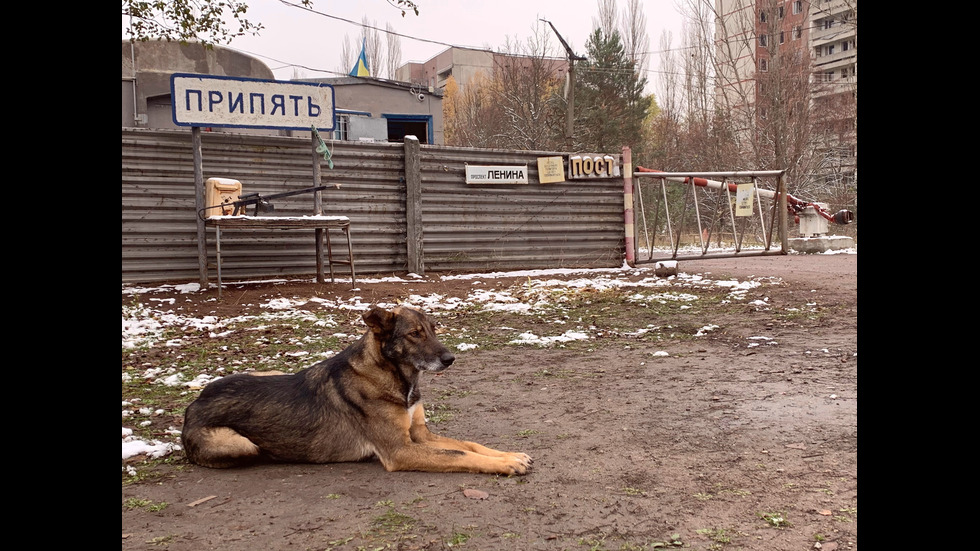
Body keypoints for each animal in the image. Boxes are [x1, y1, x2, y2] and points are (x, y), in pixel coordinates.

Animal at [184, 304, 536, 476]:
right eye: (414, 334)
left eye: (434, 330)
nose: (450, 359)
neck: (395, 378)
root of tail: (193, 405)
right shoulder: (400, 450)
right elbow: (460, 454)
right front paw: (505, 465)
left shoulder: (419, 435)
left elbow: (469, 444)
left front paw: (509, 455)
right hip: (240, 445)